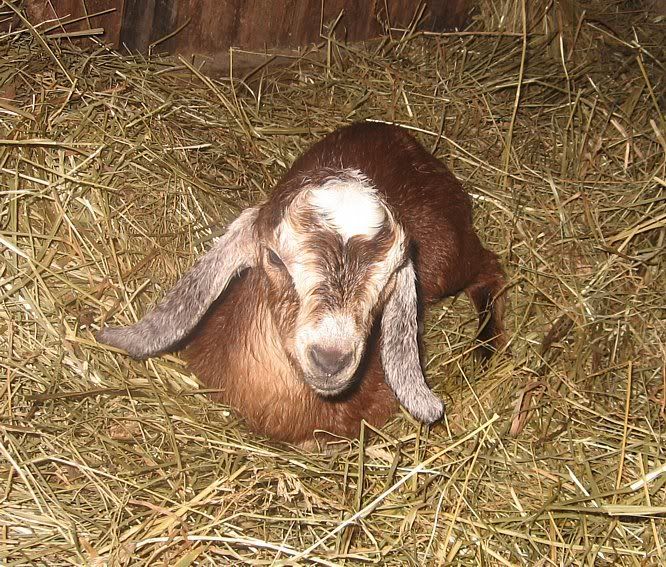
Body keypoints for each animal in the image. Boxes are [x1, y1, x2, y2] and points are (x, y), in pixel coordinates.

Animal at [97, 122, 506, 446]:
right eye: (274, 258)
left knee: (491, 267)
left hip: (447, 259)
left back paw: (486, 345)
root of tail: (400, 136)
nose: (330, 359)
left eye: (391, 276)